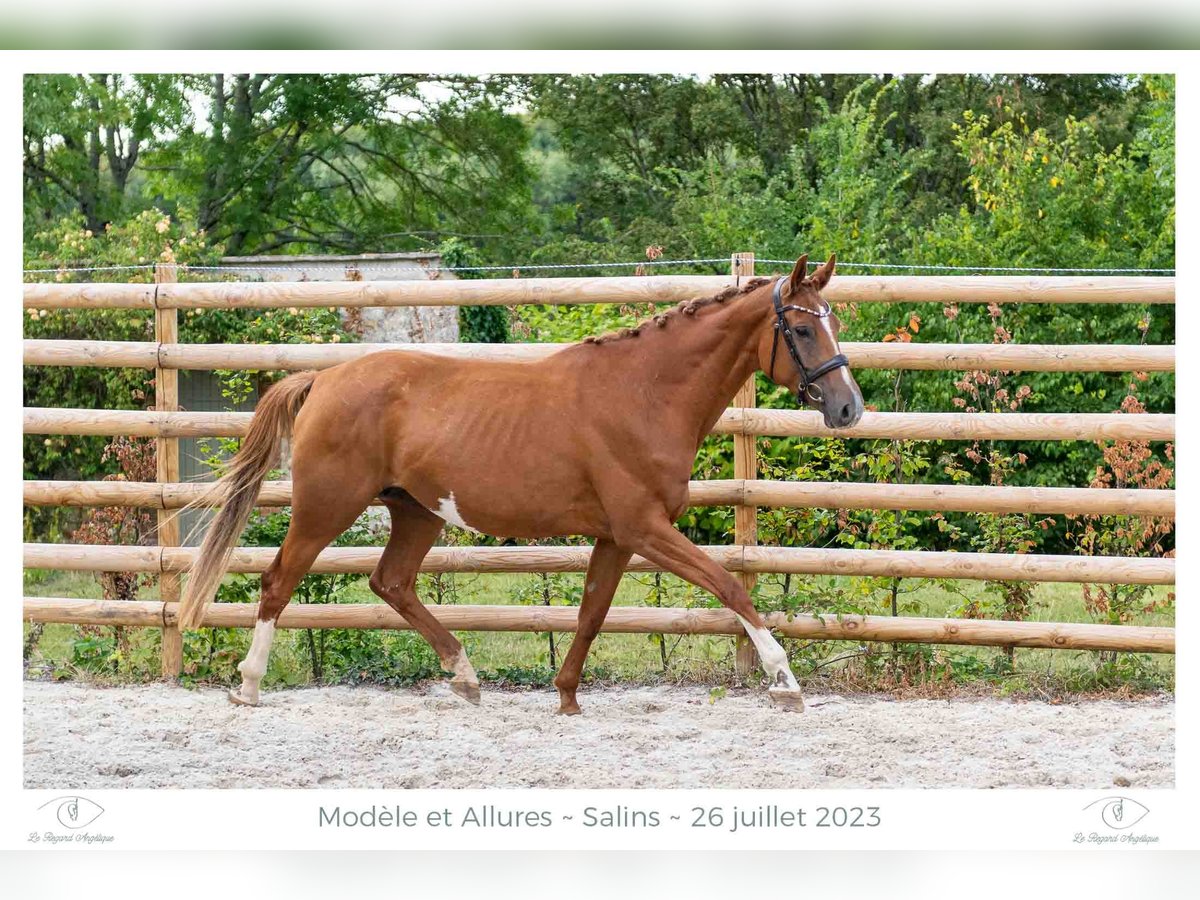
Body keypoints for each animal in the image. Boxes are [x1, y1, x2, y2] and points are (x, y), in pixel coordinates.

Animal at [177, 252, 864, 710]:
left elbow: (591, 612)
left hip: (416, 512)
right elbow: (732, 587)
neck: (645, 393)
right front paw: (786, 684)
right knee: (277, 581)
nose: (848, 408)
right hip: (328, 506)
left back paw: (465, 674)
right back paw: (248, 686)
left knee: (391, 583)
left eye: (833, 322)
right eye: (803, 329)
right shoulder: (645, 528)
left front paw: (566, 697)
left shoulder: (616, 536)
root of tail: (324, 379)